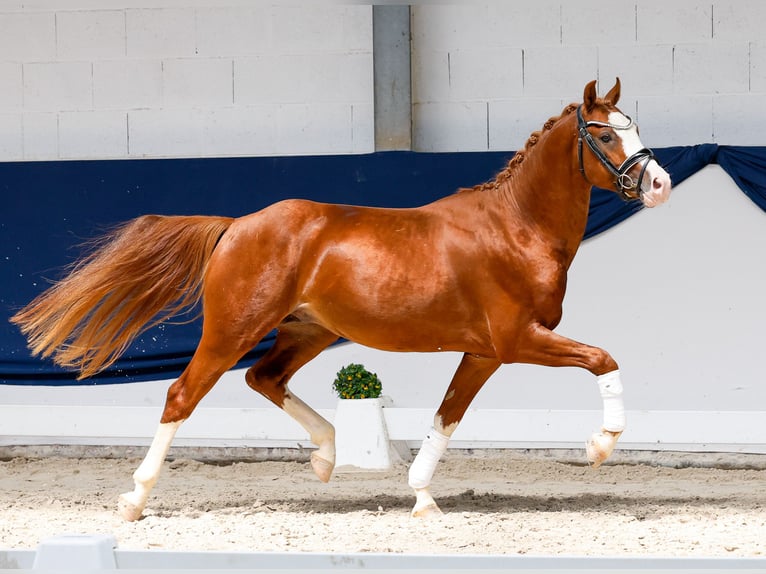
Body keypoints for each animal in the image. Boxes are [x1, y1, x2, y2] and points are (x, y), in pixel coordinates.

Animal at [11, 78, 672, 521]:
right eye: (605, 132)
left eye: (637, 125)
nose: (660, 183)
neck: (516, 228)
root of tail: (236, 225)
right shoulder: (519, 340)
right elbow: (604, 360)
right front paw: (600, 445)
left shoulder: (485, 352)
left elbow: (446, 417)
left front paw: (422, 498)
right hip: (232, 330)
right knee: (182, 395)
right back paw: (134, 497)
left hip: (309, 330)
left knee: (265, 379)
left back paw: (327, 456)